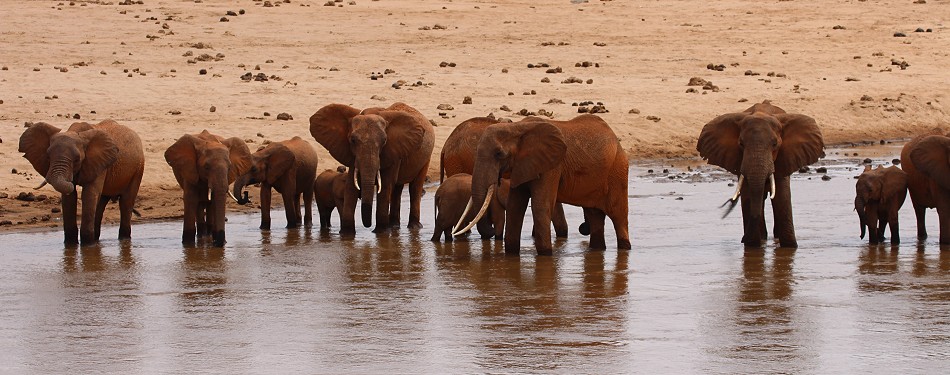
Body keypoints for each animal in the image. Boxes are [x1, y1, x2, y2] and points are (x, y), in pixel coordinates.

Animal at [308, 101, 436, 234]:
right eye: (352, 140)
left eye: (384, 141)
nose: (368, 226)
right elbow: (351, 187)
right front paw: (347, 234)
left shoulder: (392, 151)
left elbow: (385, 186)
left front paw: (381, 233)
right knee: (397, 189)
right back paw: (394, 226)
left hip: (426, 157)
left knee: (414, 188)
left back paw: (413, 227)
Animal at [456, 114, 632, 256]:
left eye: (499, 154)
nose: (492, 232)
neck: (517, 127)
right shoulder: (522, 165)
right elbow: (515, 206)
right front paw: (511, 255)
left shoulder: (552, 166)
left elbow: (540, 205)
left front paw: (546, 255)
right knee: (595, 216)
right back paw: (597, 250)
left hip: (617, 172)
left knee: (618, 216)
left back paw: (625, 248)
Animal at [700, 100, 824, 248]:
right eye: (741, 144)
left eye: (775, 144)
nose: (743, 239)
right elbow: (749, 195)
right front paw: (753, 245)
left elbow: (782, 197)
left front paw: (789, 246)